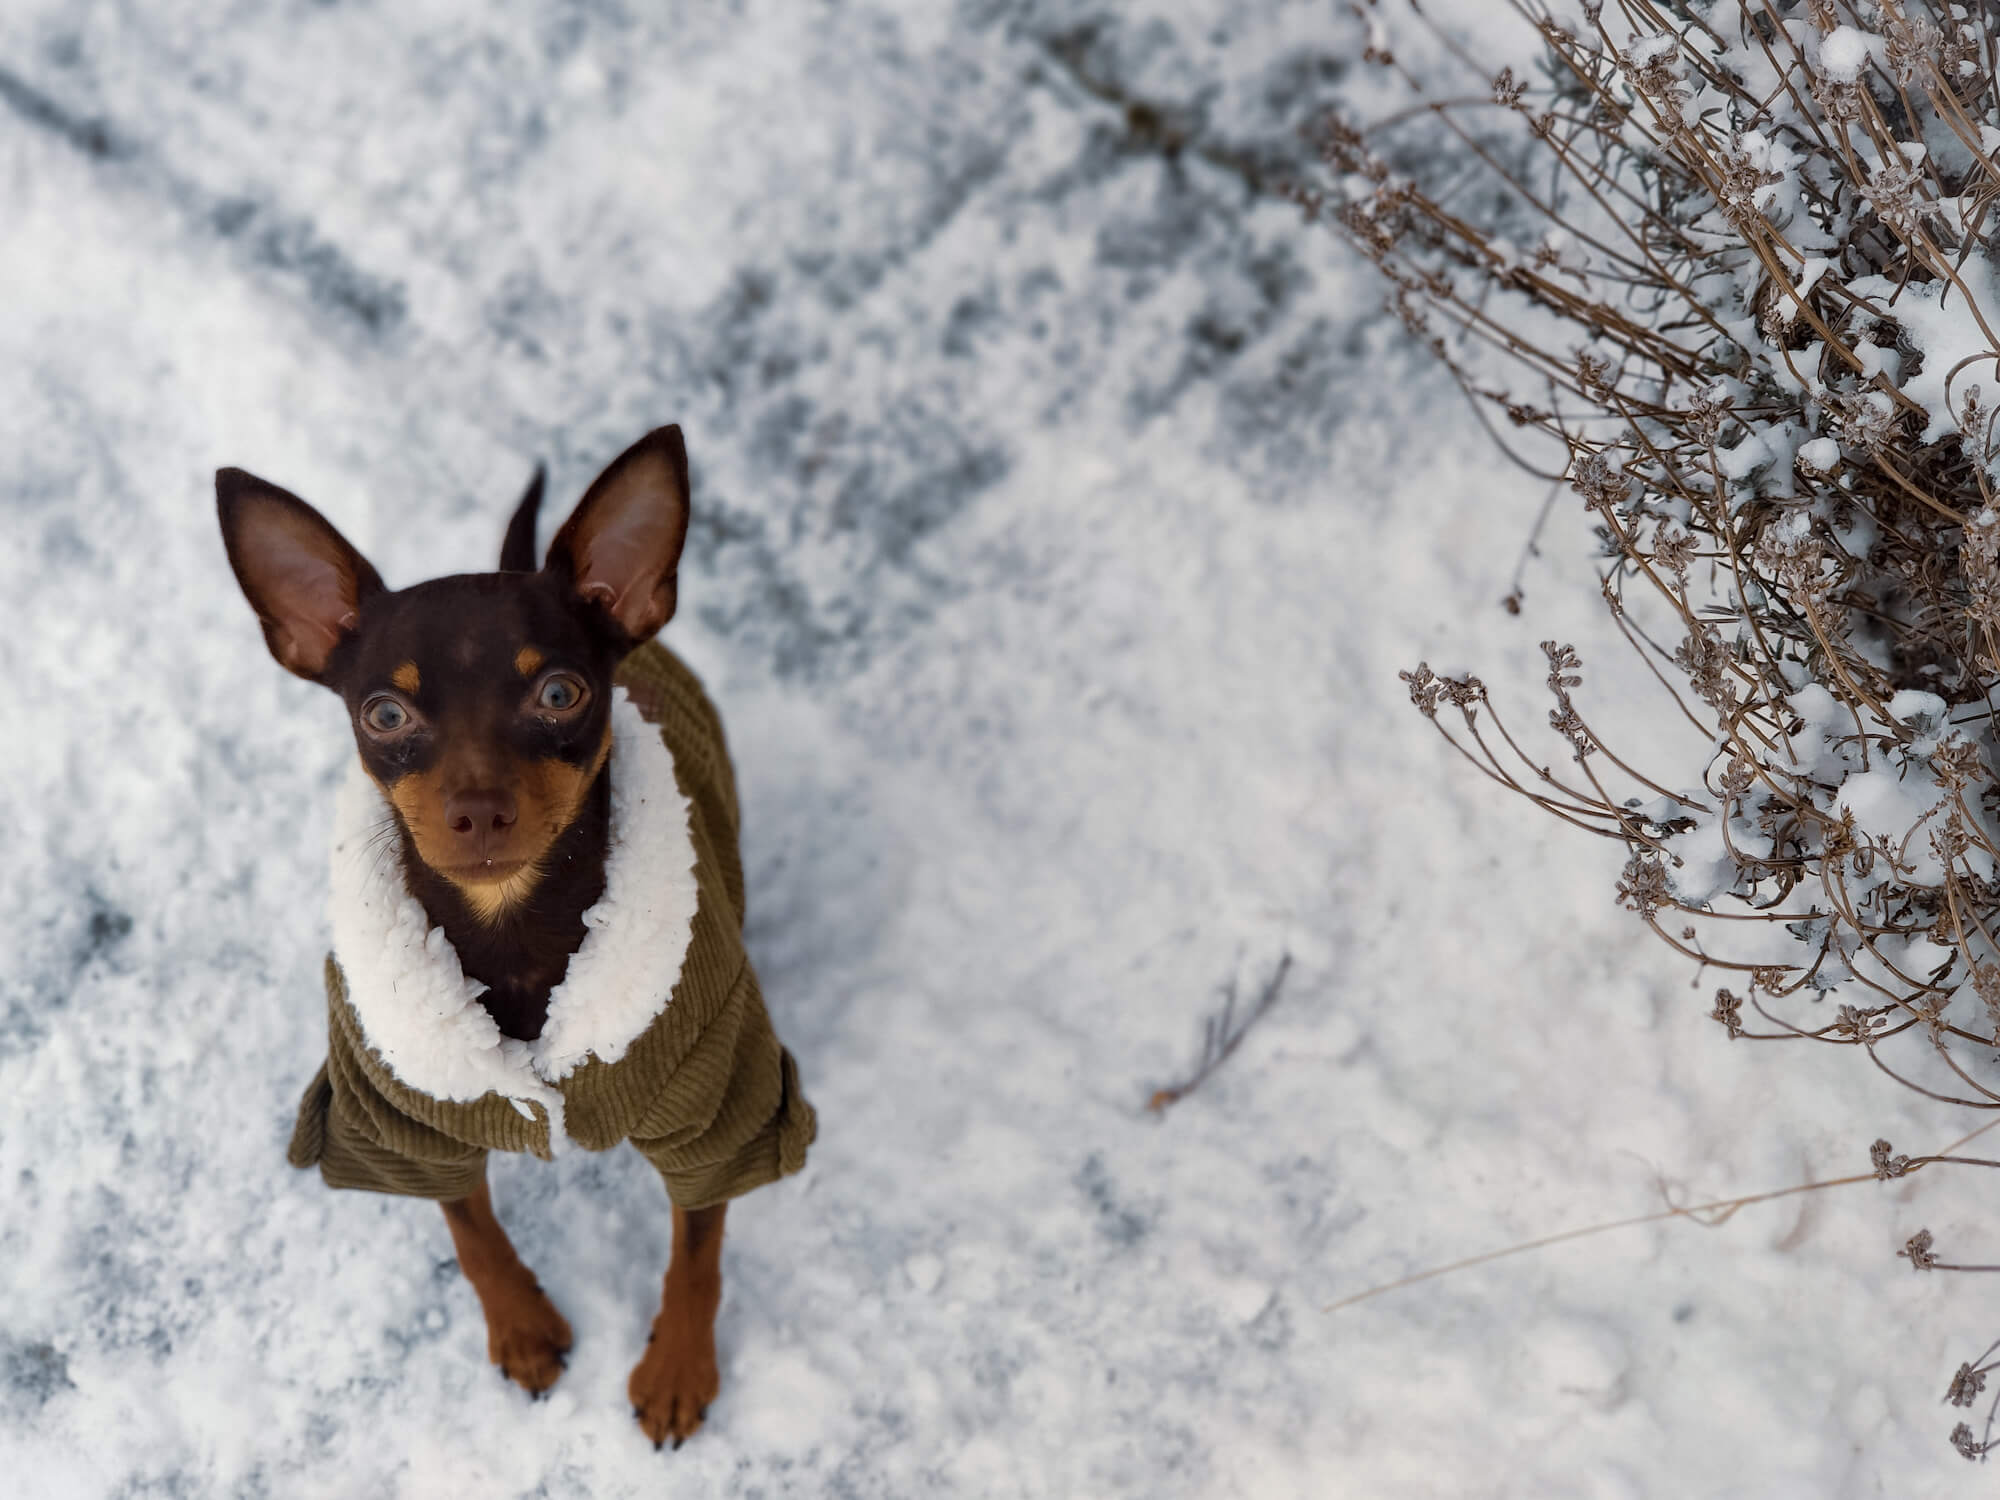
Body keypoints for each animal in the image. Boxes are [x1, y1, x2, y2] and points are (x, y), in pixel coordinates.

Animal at [219, 426, 812, 1456]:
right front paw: (524, 1330)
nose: (479, 810)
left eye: (560, 691)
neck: (516, 930)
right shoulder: (406, 1121)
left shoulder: (721, 1117)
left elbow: (697, 1246)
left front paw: (677, 1369)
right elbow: (470, 1231)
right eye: (385, 714)